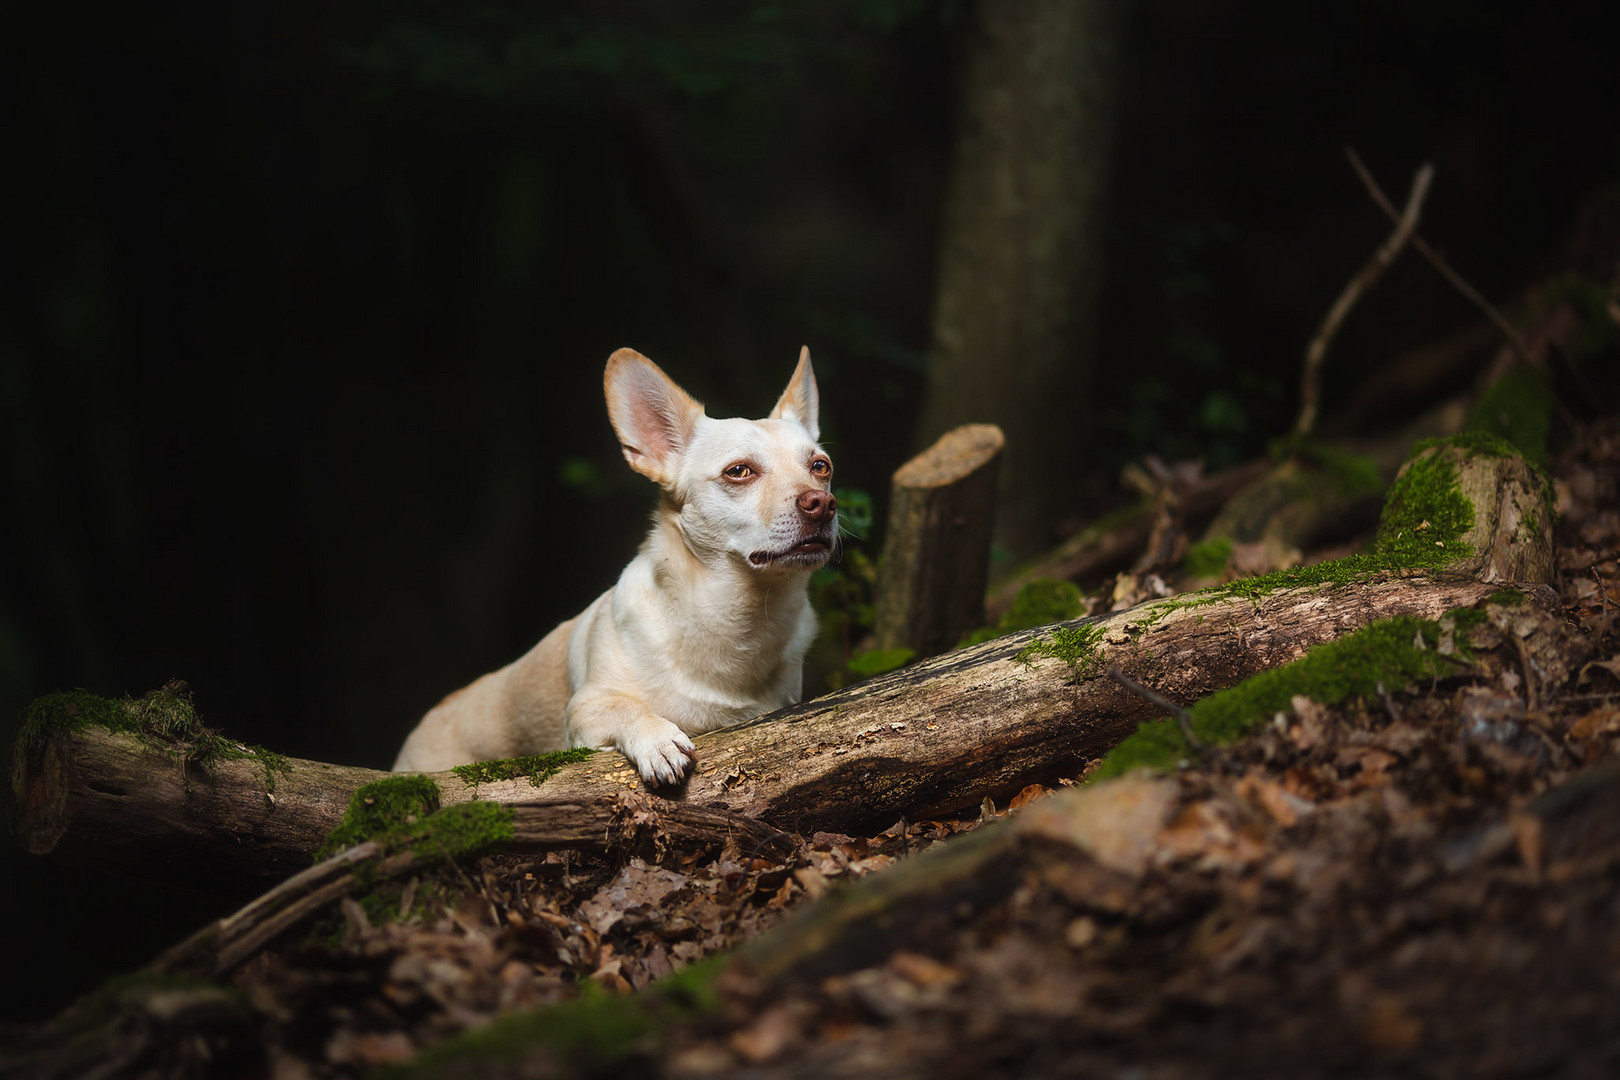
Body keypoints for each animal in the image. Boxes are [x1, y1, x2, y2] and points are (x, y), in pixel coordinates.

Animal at [392, 351, 835, 780]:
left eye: (821, 467)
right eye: (739, 471)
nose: (823, 503)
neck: (734, 619)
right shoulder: (584, 710)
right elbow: (625, 706)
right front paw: (657, 738)